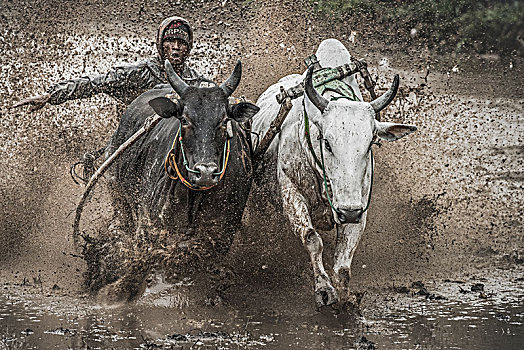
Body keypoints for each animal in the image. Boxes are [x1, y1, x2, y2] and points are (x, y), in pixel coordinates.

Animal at [90, 60, 262, 300]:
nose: (205, 173)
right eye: (185, 119)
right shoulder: (150, 227)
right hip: (120, 198)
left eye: (223, 121)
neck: (193, 196)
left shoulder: (221, 233)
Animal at [254, 38, 418, 306]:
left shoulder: (359, 207)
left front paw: (346, 297)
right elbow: (312, 239)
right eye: (328, 143)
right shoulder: (291, 192)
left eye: (370, 143)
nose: (347, 212)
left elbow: (343, 264)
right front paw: (323, 289)